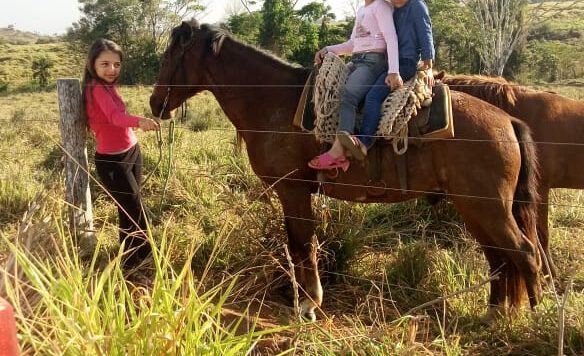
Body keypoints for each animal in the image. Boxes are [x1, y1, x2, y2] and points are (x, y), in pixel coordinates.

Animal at [151, 23, 544, 322]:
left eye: (170, 57)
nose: (155, 103)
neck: (274, 102)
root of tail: (507, 120)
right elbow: (299, 246)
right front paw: (306, 300)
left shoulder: (293, 191)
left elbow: (303, 245)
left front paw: (309, 304)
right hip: (474, 207)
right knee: (498, 258)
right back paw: (494, 313)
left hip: (488, 207)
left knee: (524, 253)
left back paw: (532, 318)